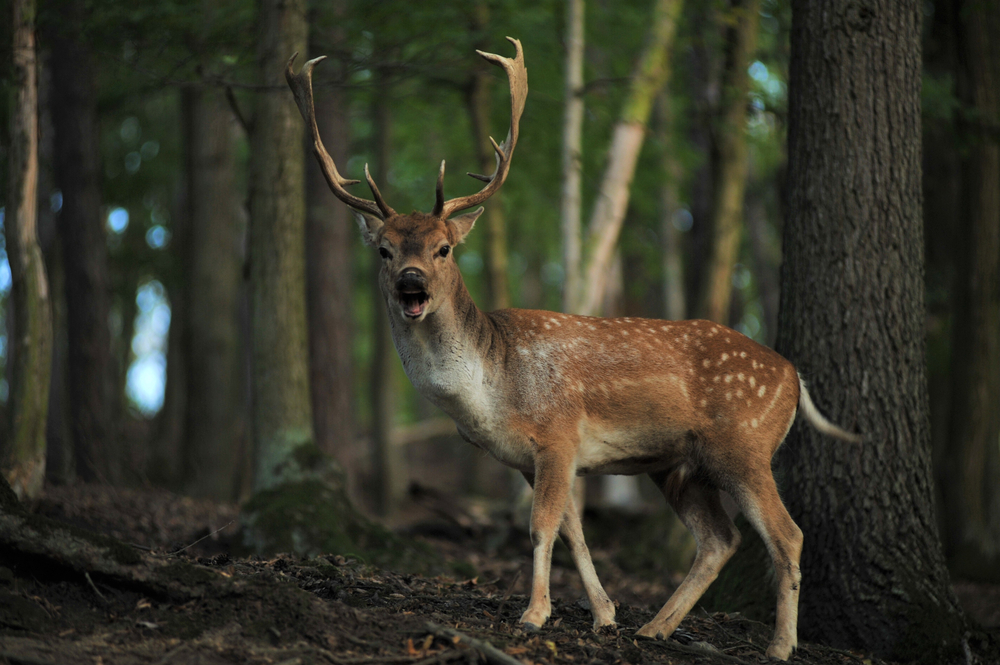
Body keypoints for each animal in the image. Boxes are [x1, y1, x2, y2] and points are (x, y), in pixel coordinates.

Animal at [288, 36, 860, 660]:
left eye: (443, 248)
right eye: (385, 250)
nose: (410, 283)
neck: (491, 385)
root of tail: (794, 375)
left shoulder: (558, 433)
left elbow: (541, 527)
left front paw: (535, 615)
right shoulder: (530, 458)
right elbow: (573, 530)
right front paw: (604, 615)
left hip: (745, 444)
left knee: (788, 534)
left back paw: (779, 646)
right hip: (679, 464)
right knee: (720, 538)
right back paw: (653, 627)